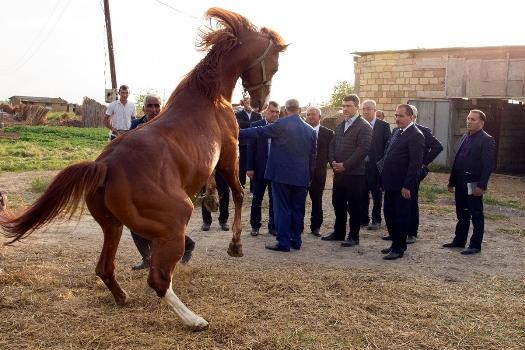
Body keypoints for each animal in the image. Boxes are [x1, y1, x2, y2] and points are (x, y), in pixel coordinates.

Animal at [1, 8, 286, 330]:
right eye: (274, 63)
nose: (261, 102)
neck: (209, 96)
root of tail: (103, 166)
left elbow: (215, 184)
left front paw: (212, 199)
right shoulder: (229, 151)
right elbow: (237, 193)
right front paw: (235, 244)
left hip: (112, 226)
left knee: (105, 268)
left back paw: (124, 297)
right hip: (175, 219)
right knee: (158, 279)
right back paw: (194, 319)